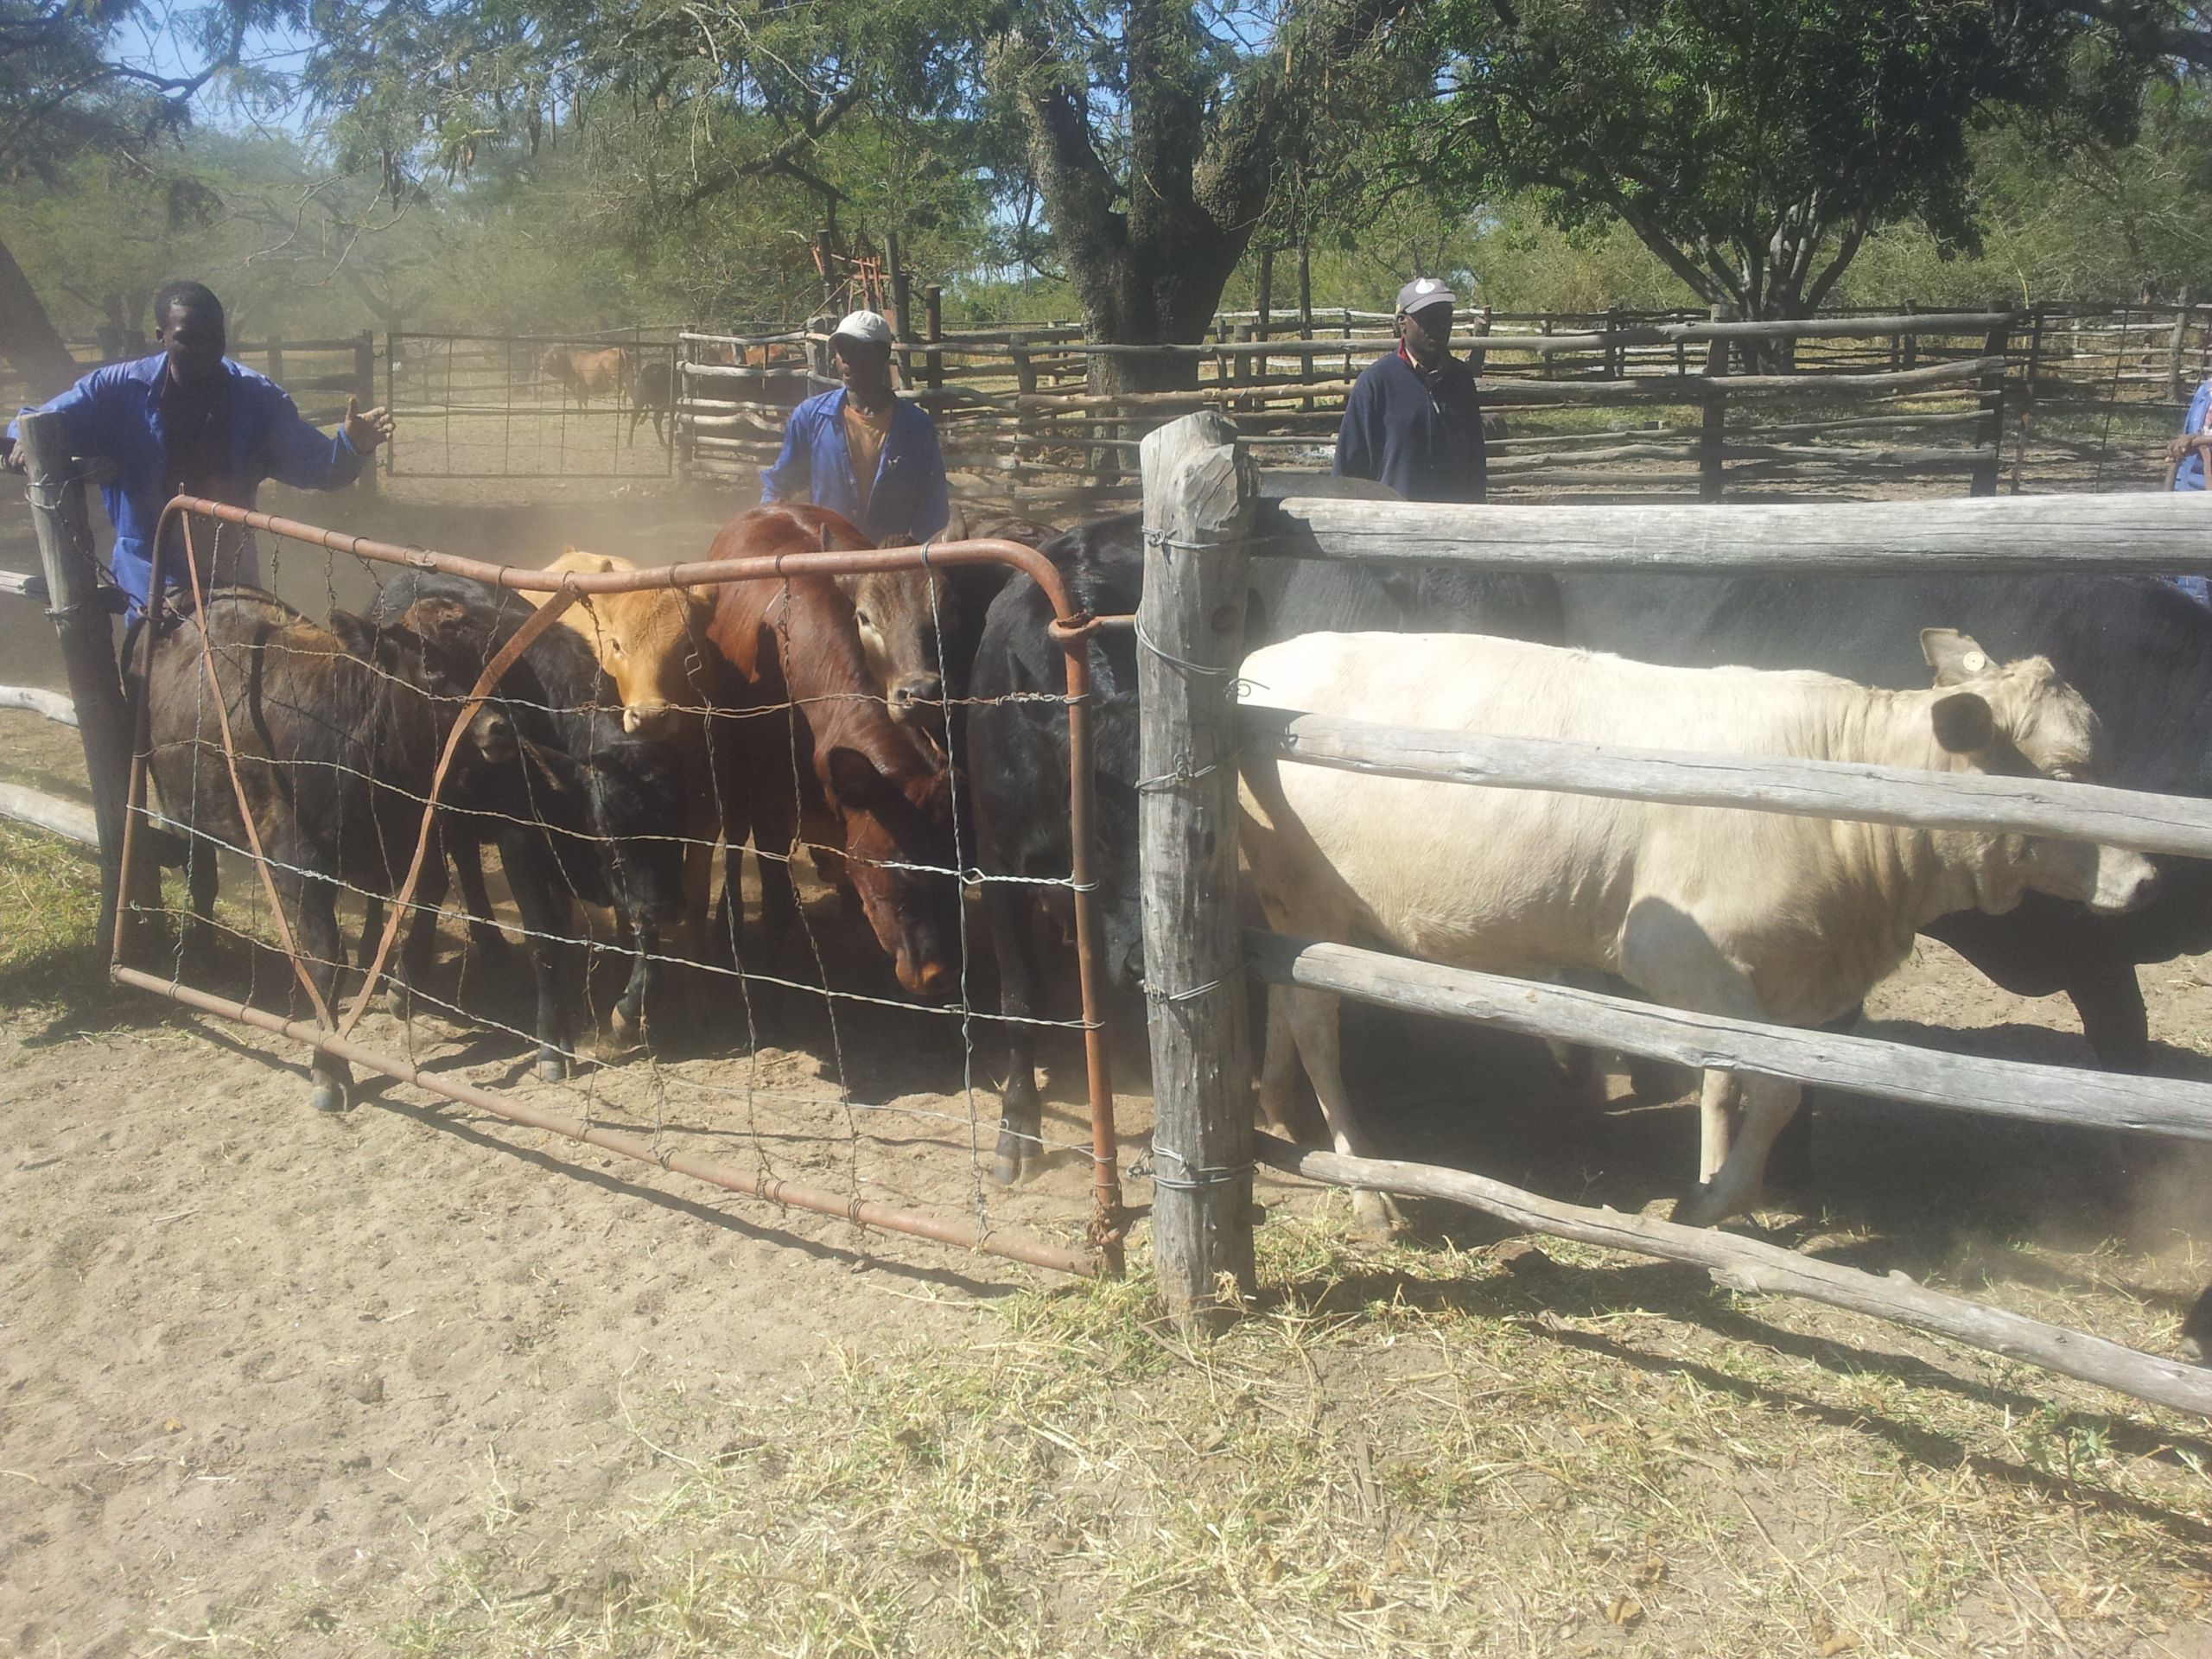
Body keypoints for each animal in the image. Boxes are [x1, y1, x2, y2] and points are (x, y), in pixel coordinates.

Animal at [144, 588, 515, 1119]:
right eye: (432, 665)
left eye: (491, 655)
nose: (499, 728)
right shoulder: (298, 864)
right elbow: (324, 959)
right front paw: (329, 1065)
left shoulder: (416, 839)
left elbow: (428, 894)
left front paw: (402, 986)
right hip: (182, 807)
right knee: (202, 879)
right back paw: (202, 951)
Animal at [362, 579, 690, 1084]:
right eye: (609, 837)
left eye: (681, 833)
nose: (669, 909)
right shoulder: (521, 841)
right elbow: (541, 939)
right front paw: (552, 1042)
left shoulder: (638, 885)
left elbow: (638, 930)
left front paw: (629, 1008)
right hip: (418, 797)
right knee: (432, 880)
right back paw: (406, 978)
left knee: (465, 866)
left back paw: (492, 947)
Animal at [1247, 628, 2158, 1230]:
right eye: (2069, 772)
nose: (2149, 879)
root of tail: (1263, 662)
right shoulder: (1675, 954)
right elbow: (1773, 1087)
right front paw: (1718, 1200)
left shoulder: (1773, 978)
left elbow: (1735, 1080)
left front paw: (1716, 1180)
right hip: (1313, 902)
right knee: (1317, 1024)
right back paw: (1366, 1182)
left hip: (1290, 909)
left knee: (1281, 995)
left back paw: (1280, 1109)